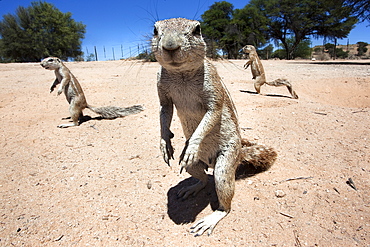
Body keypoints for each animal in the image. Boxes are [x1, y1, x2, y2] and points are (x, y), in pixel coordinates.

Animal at [152, 18, 276, 236]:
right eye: (155, 30)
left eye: (197, 30)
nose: (170, 46)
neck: (181, 74)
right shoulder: (162, 92)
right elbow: (164, 113)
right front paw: (164, 143)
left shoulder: (212, 88)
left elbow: (212, 114)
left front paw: (192, 146)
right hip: (192, 166)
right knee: (203, 179)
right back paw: (191, 187)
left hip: (224, 167)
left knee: (224, 202)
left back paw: (210, 219)